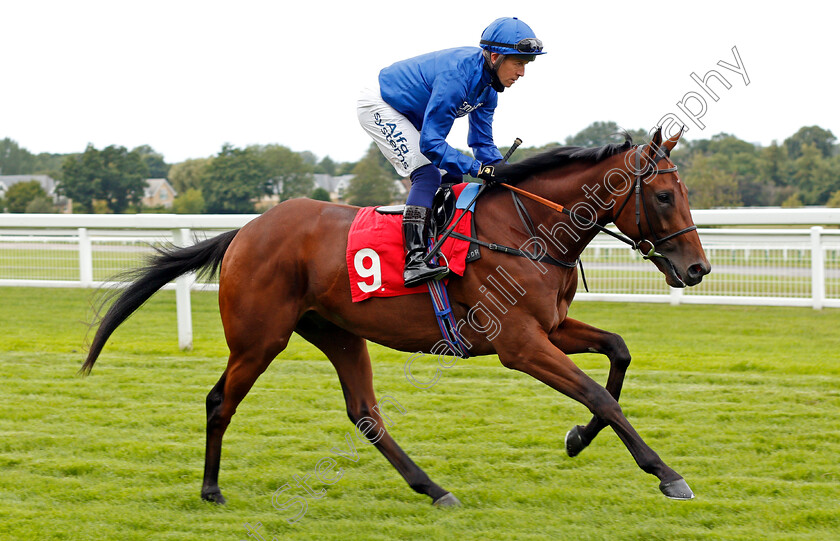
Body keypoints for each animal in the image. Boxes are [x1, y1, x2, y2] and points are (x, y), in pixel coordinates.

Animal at [80, 126, 708, 506]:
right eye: (663, 196)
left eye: (684, 193)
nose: (697, 268)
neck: (525, 231)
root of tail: (245, 231)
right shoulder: (520, 344)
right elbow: (598, 393)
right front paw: (665, 473)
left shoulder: (550, 329)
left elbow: (618, 352)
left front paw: (578, 438)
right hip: (260, 339)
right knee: (219, 400)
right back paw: (211, 490)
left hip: (338, 333)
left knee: (365, 414)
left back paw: (432, 488)